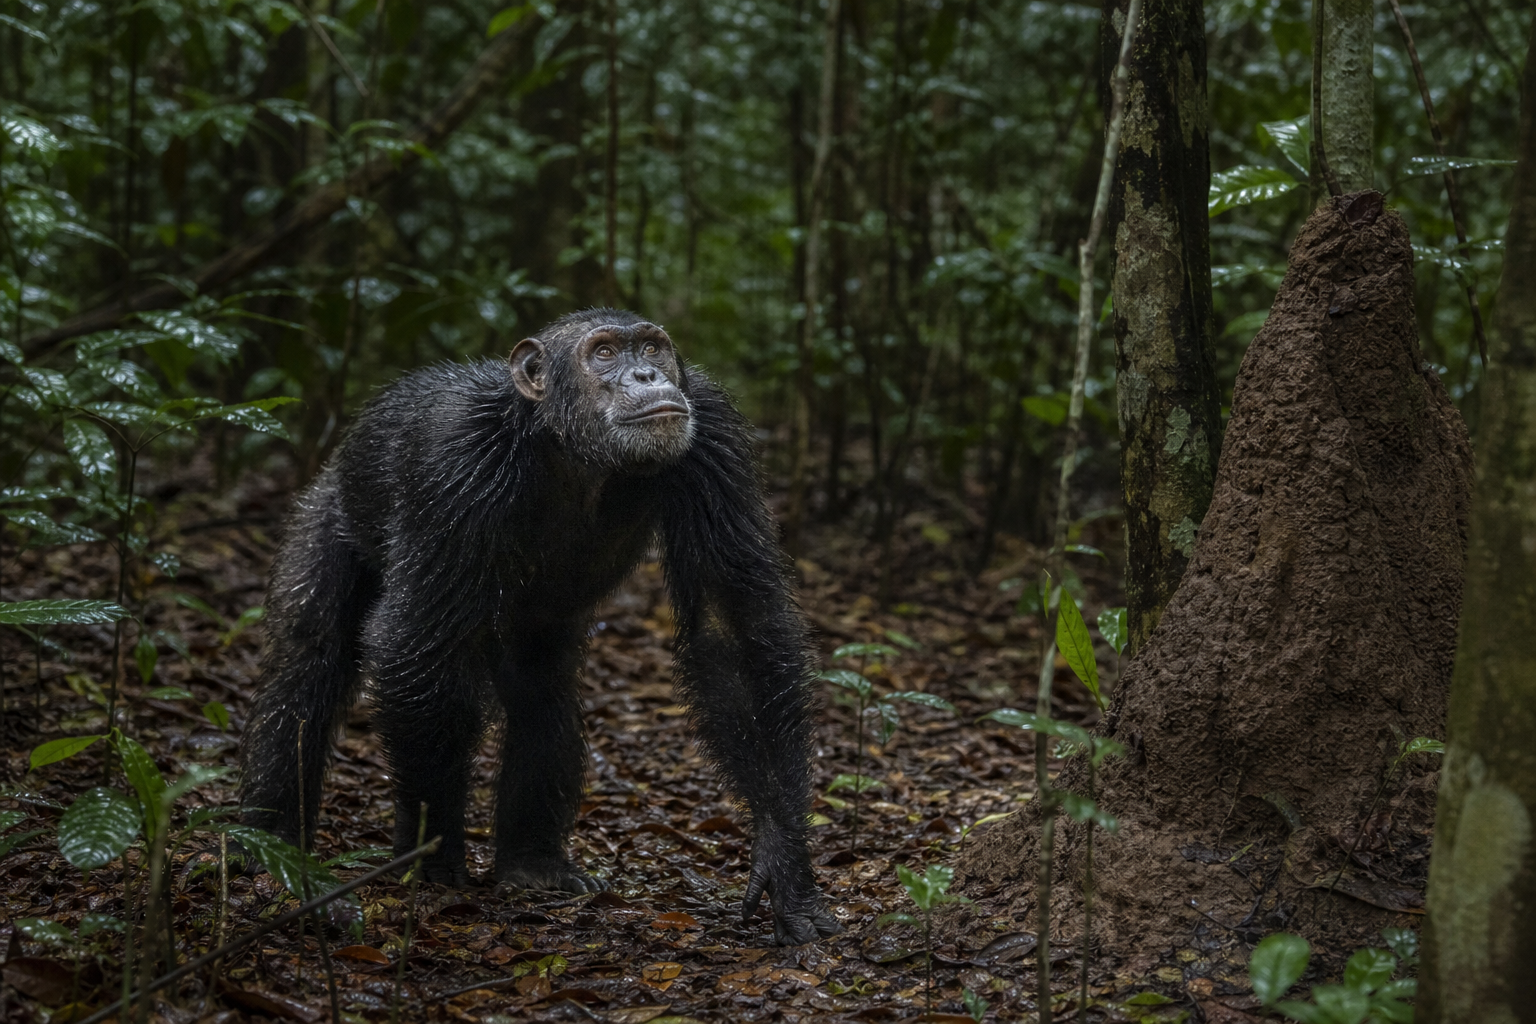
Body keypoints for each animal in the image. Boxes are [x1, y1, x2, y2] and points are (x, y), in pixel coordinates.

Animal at [240, 308, 841, 945]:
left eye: (652, 347)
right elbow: (418, 644)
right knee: (309, 663)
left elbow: (732, 630)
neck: (571, 450)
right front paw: (432, 852)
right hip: (327, 511)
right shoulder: (453, 462)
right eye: (604, 353)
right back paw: (272, 844)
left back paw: (533, 863)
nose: (647, 373)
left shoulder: (715, 442)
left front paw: (783, 861)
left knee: (540, 691)